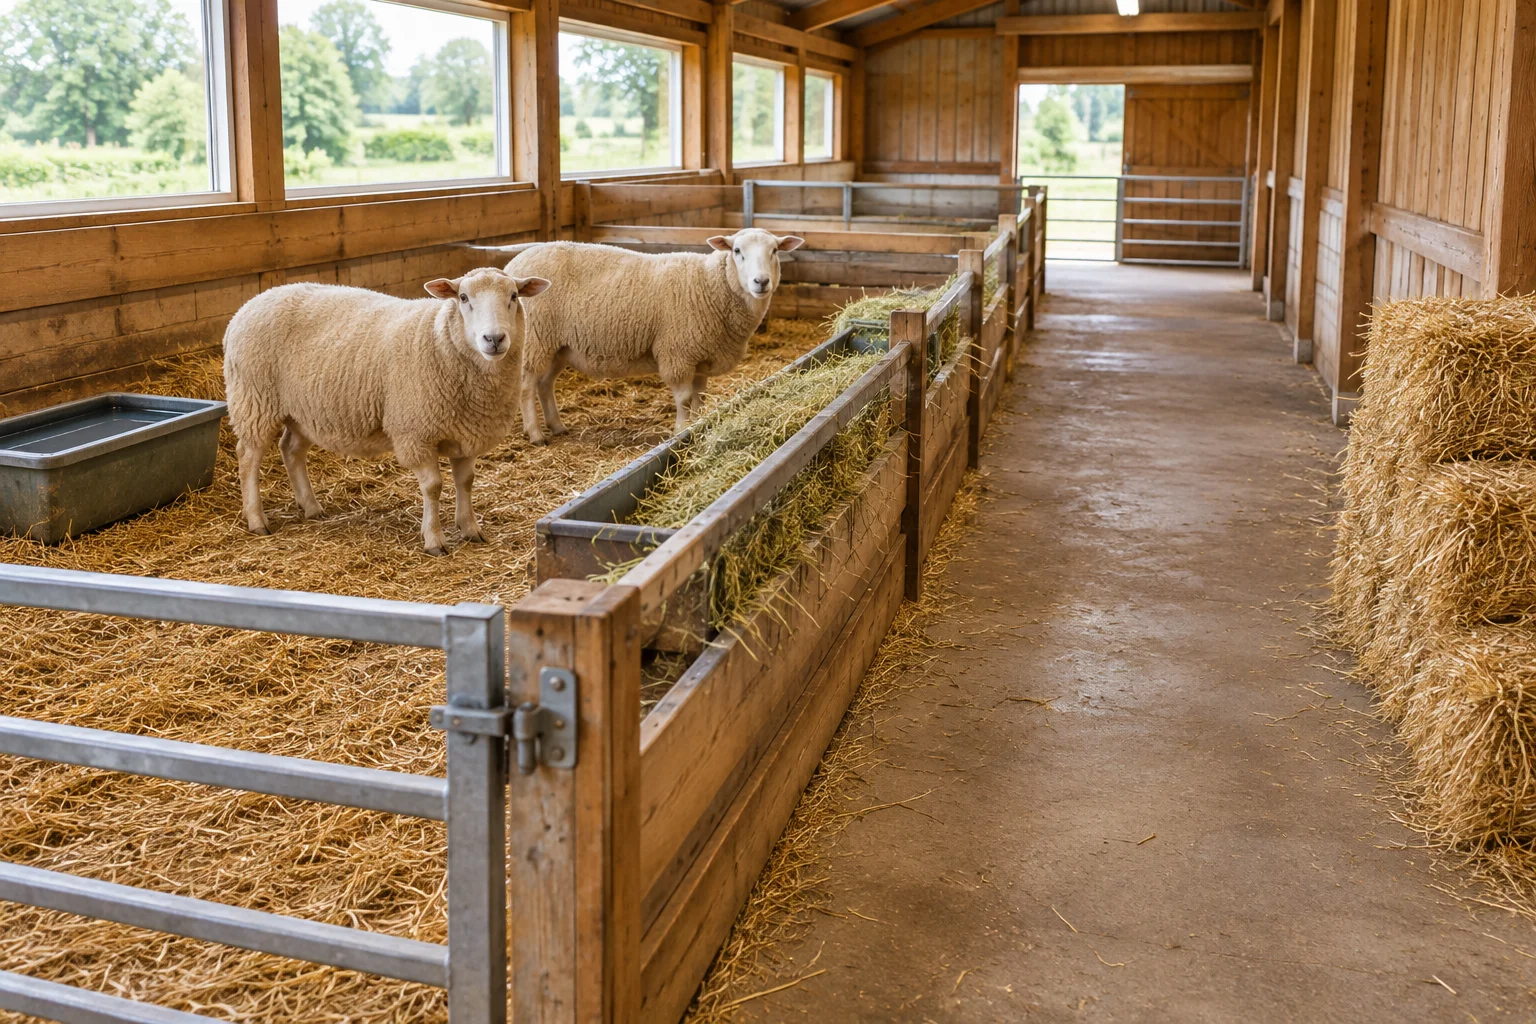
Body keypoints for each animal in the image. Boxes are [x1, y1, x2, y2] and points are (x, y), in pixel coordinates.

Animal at [222, 267, 550, 555]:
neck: (439, 341)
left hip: (304, 411)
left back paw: (312, 508)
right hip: (255, 400)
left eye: (513, 296)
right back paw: (257, 520)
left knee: (291, 449)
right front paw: (434, 539)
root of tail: (251, 302)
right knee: (248, 456)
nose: (494, 339)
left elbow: (466, 481)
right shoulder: (416, 433)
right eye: (463, 297)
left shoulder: (467, 431)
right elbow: (433, 487)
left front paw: (470, 529)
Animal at [504, 227, 805, 445]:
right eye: (737, 251)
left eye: (775, 250)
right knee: (526, 387)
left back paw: (557, 426)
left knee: (545, 385)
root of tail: (511, 270)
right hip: (535, 340)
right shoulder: (678, 352)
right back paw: (536, 434)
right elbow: (684, 399)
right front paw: (681, 431)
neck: (711, 284)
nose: (761, 282)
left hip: (557, 346)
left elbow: (699, 398)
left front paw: (698, 424)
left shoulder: (700, 357)